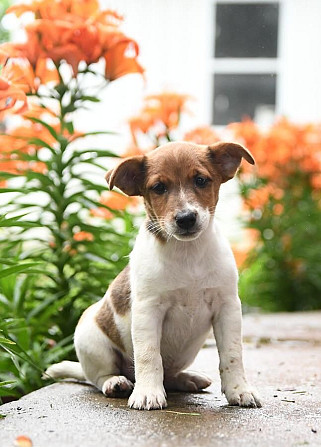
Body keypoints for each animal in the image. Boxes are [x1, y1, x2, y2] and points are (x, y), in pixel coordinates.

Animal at [46, 142, 262, 412]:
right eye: (159, 187)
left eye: (201, 180)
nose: (186, 218)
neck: (187, 254)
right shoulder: (148, 310)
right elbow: (149, 356)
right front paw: (148, 393)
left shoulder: (227, 307)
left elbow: (232, 354)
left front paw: (239, 390)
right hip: (92, 342)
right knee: (98, 377)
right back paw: (116, 382)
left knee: (169, 376)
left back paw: (187, 378)